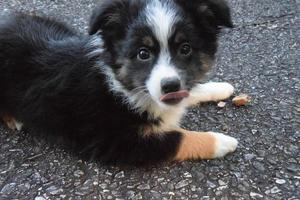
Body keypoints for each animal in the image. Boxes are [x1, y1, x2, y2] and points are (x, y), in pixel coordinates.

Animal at [0, 0, 239, 165]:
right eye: (143, 53)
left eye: (185, 48)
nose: (170, 86)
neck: (118, 85)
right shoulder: (115, 141)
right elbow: (178, 138)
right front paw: (222, 141)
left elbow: (187, 93)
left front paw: (219, 87)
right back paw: (14, 119)